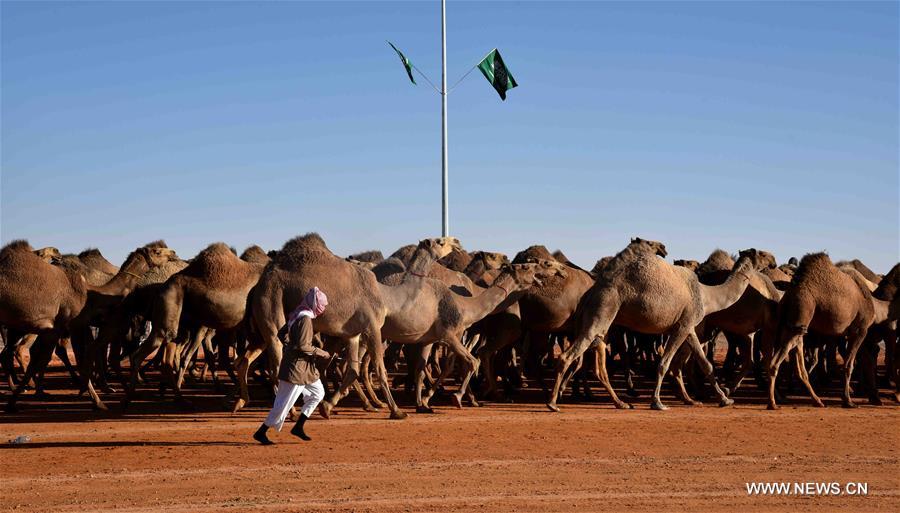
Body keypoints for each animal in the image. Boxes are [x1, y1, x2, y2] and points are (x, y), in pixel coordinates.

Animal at [544, 241, 764, 412]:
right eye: (761, 254)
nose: (769, 261)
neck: (707, 295)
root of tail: (591, 292)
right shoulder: (682, 326)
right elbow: (664, 363)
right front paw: (657, 403)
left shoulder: (689, 327)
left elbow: (706, 364)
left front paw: (723, 399)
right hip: (604, 307)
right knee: (568, 356)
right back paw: (553, 403)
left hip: (603, 320)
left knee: (598, 365)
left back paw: (621, 403)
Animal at [768, 252, 876, 408]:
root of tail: (787, 296)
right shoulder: (860, 330)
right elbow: (849, 365)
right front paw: (848, 400)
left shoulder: (843, 335)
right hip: (803, 311)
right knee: (775, 362)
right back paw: (773, 402)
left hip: (791, 325)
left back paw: (815, 399)